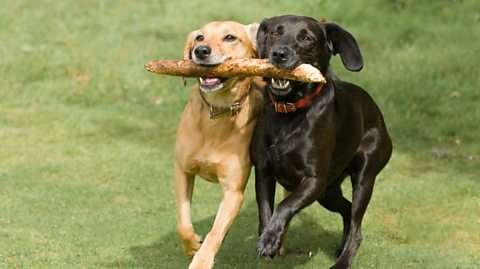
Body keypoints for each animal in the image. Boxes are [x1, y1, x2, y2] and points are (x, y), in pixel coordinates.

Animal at [251, 15, 394, 268]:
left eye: (307, 38)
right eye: (275, 33)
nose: (279, 54)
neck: (288, 113)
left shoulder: (314, 180)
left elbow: (284, 205)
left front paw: (270, 239)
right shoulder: (264, 173)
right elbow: (265, 209)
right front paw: (269, 238)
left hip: (363, 177)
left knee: (357, 227)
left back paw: (343, 261)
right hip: (328, 193)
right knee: (347, 210)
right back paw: (340, 247)